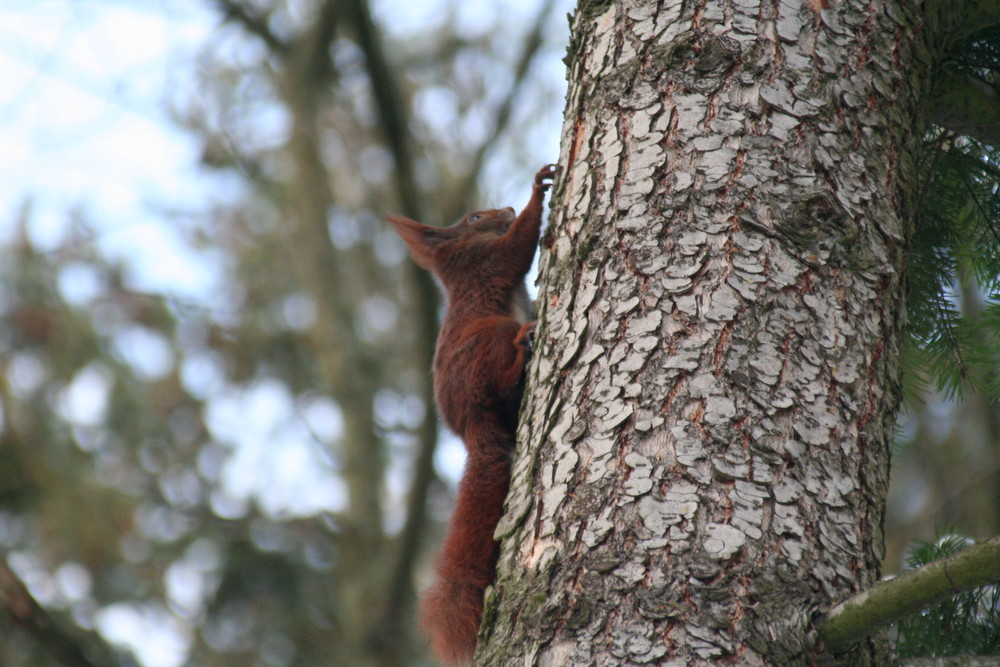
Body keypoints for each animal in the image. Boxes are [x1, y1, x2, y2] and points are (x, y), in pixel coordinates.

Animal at [388, 164, 556, 664]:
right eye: (475, 217)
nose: (504, 207)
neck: (457, 262)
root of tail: (470, 426)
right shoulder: (489, 262)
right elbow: (518, 247)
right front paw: (536, 193)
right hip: (489, 338)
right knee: (502, 374)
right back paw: (522, 351)